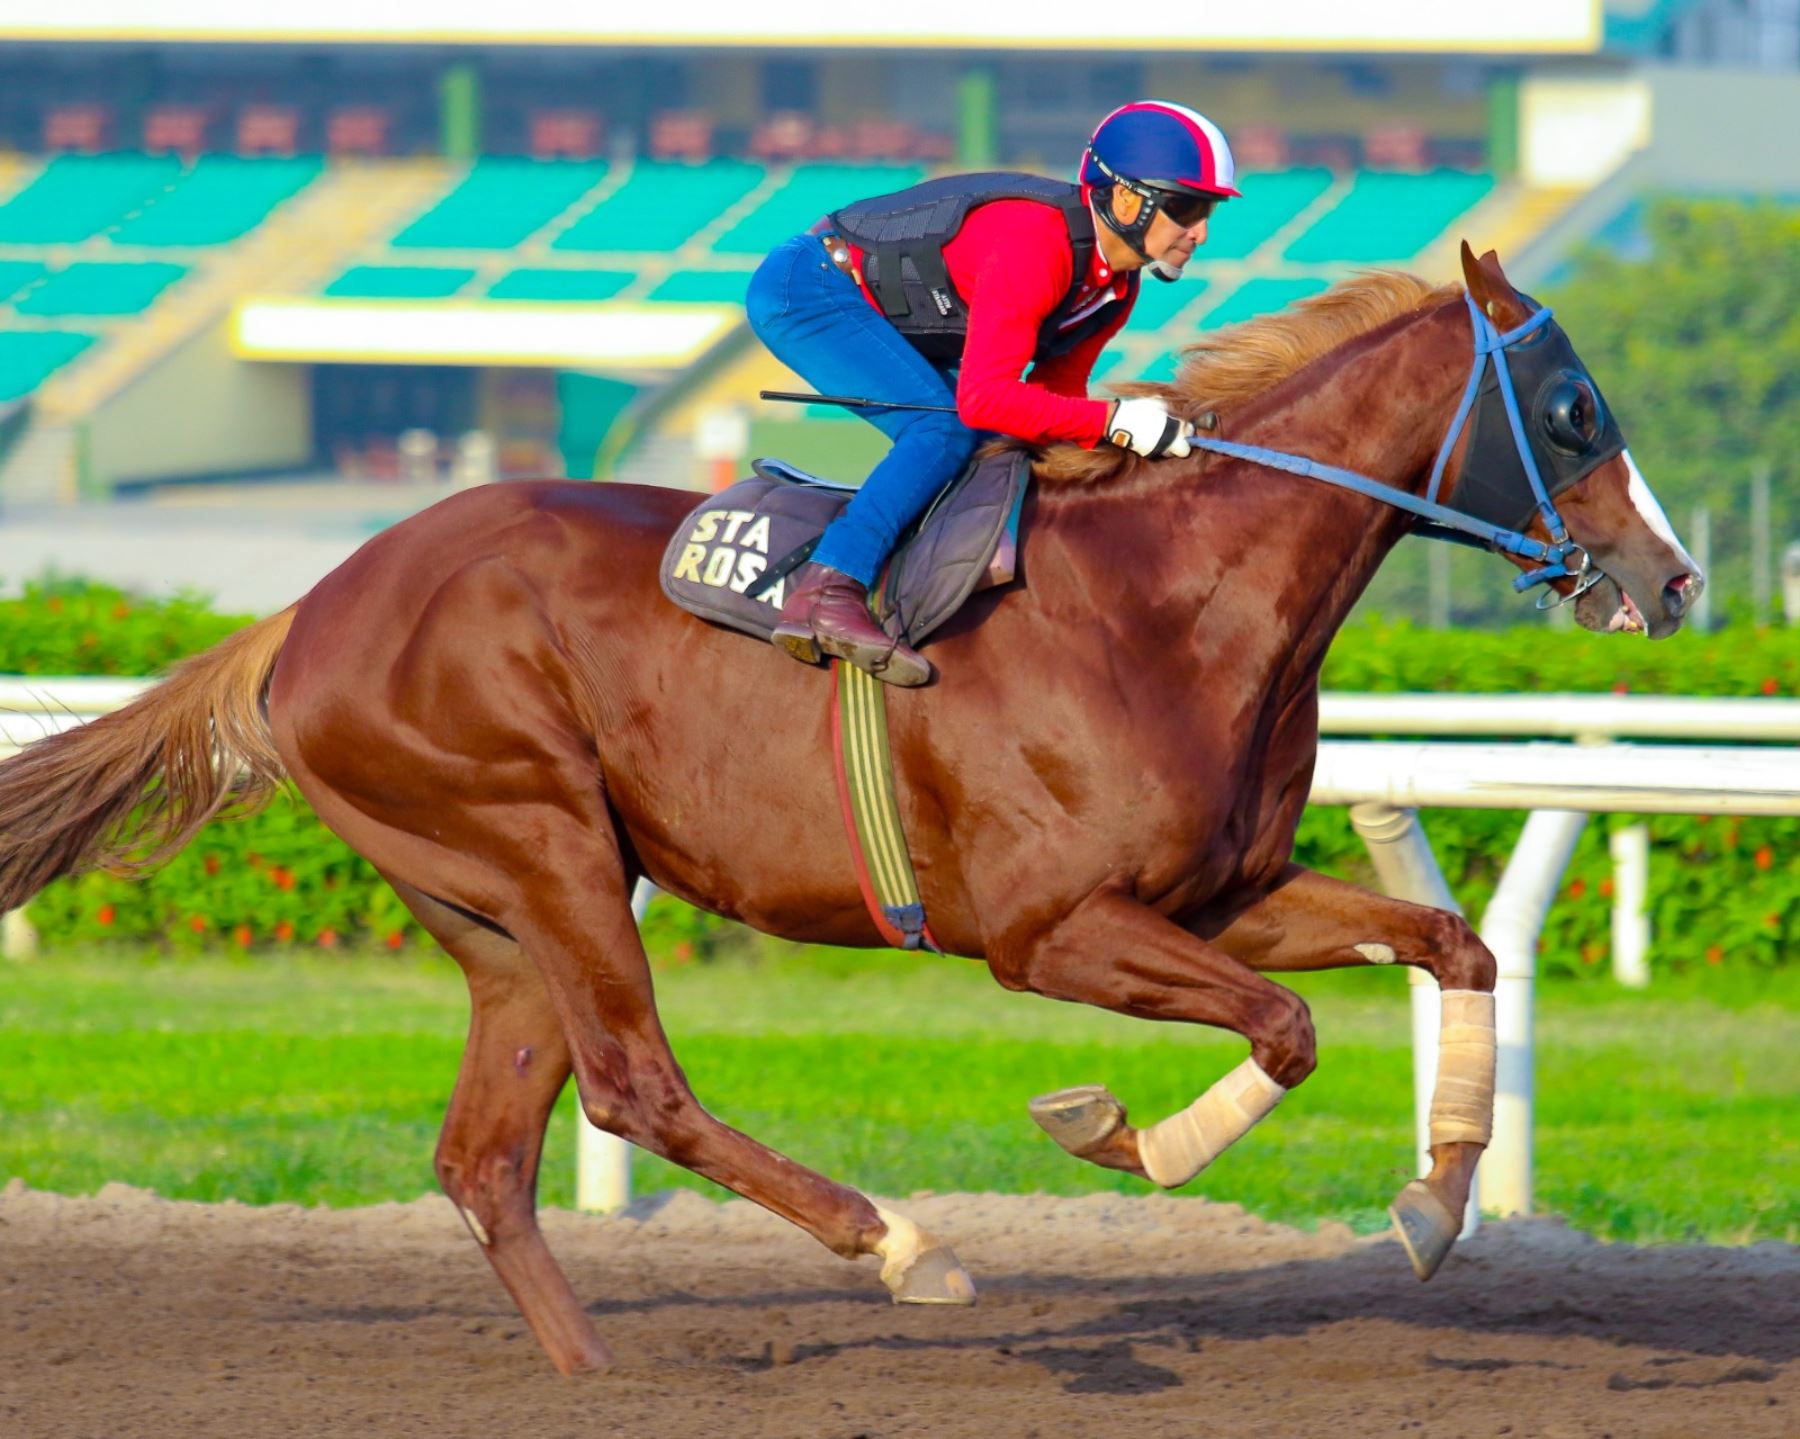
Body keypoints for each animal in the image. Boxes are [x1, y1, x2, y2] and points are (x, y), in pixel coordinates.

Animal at [0, 244, 1699, 1375]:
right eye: (1569, 403)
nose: (1675, 580)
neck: (1171, 601)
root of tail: (306, 611)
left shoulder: (1222, 889)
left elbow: (1454, 945)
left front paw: (1430, 1203)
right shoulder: (1046, 929)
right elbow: (1281, 1029)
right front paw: (1111, 1128)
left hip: (497, 903)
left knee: (488, 1151)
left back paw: (598, 1377)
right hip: (541, 837)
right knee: (637, 1089)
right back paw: (904, 1246)